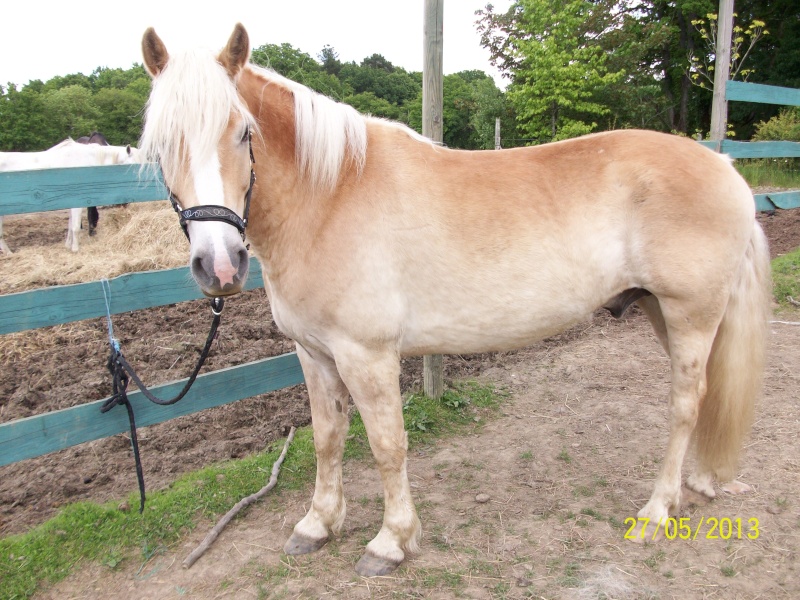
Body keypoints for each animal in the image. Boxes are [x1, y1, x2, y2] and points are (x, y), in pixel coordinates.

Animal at [141, 24, 772, 576]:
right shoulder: (314, 354)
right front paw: (318, 524)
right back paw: (699, 484)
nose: (219, 264)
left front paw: (392, 542)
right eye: (162, 142)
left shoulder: (367, 356)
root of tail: (724, 165)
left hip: (690, 314)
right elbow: (327, 438)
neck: (331, 195)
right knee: (703, 398)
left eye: (243, 131)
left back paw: (656, 512)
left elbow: (387, 445)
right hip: (663, 311)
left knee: (686, 405)